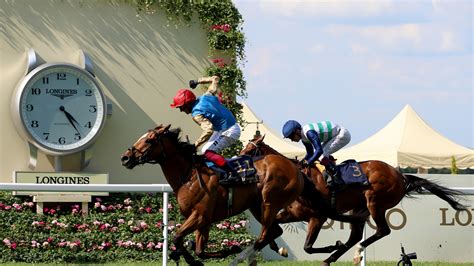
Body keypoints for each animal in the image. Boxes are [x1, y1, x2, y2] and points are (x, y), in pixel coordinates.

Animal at [118, 125, 304, 266]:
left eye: (149, 140)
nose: (125, 158)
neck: (189, 176)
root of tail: (293, 166)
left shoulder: (200, 215)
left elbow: (177, 237)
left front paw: (194, 260)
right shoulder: (204, 221)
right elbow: (199, 250)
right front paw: (224, 251)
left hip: (269, 203)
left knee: (265, 234)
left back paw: (242, 257)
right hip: (257, 207)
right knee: (274, 231)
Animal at [239, 136, 468, 264]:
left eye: (250, 150)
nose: (236, 163)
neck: (303, 180)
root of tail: (400, 176)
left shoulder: (318, 217)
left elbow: (307, 247)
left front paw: (331, 246)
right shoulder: (293, 213)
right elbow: (272, 228)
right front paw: (280, 249)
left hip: (374, 202)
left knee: (382, 231)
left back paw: (353, 253)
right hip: (360, 208)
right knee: (356, 235)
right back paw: (332, 258)